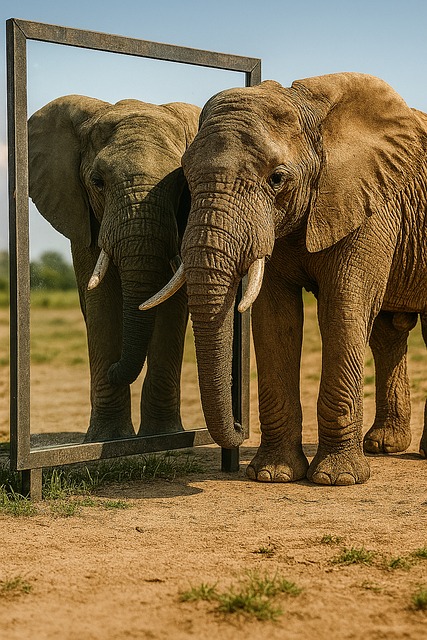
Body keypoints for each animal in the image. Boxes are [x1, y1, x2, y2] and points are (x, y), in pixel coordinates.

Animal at [28, 95, 201, 441]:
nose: (112, 370)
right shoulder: (83, 216)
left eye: (181, 185)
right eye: (98, 183)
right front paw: (108, 439)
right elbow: (101, 303)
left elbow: (173, 302)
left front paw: (161, 436)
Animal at [143, 72, 427, 485]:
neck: (307, 107)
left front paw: (336, 479)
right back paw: (383, 446)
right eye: (188, 177)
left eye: (277, 179)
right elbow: (274, 318)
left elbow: (343, 307)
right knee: (387, 333)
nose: (239, 429)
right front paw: (273, 474)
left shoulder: (370, 202)